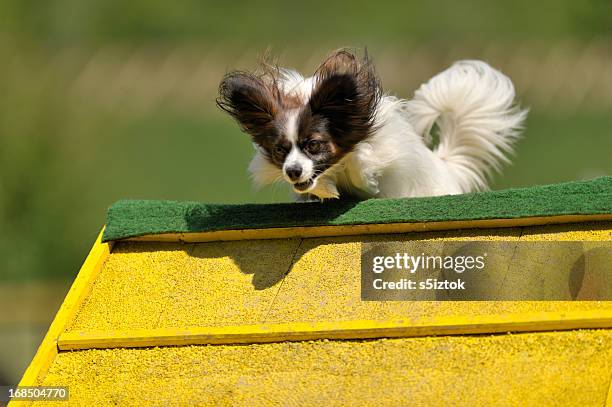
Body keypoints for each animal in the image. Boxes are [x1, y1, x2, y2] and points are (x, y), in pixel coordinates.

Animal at [215, 49, 524, 202]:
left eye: (313, 145)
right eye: (281, 150)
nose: (292, 171)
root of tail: (446, 166)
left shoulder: (383, 148)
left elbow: (363, 158)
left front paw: (362, 175)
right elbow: (313, 187)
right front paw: (323, 190)